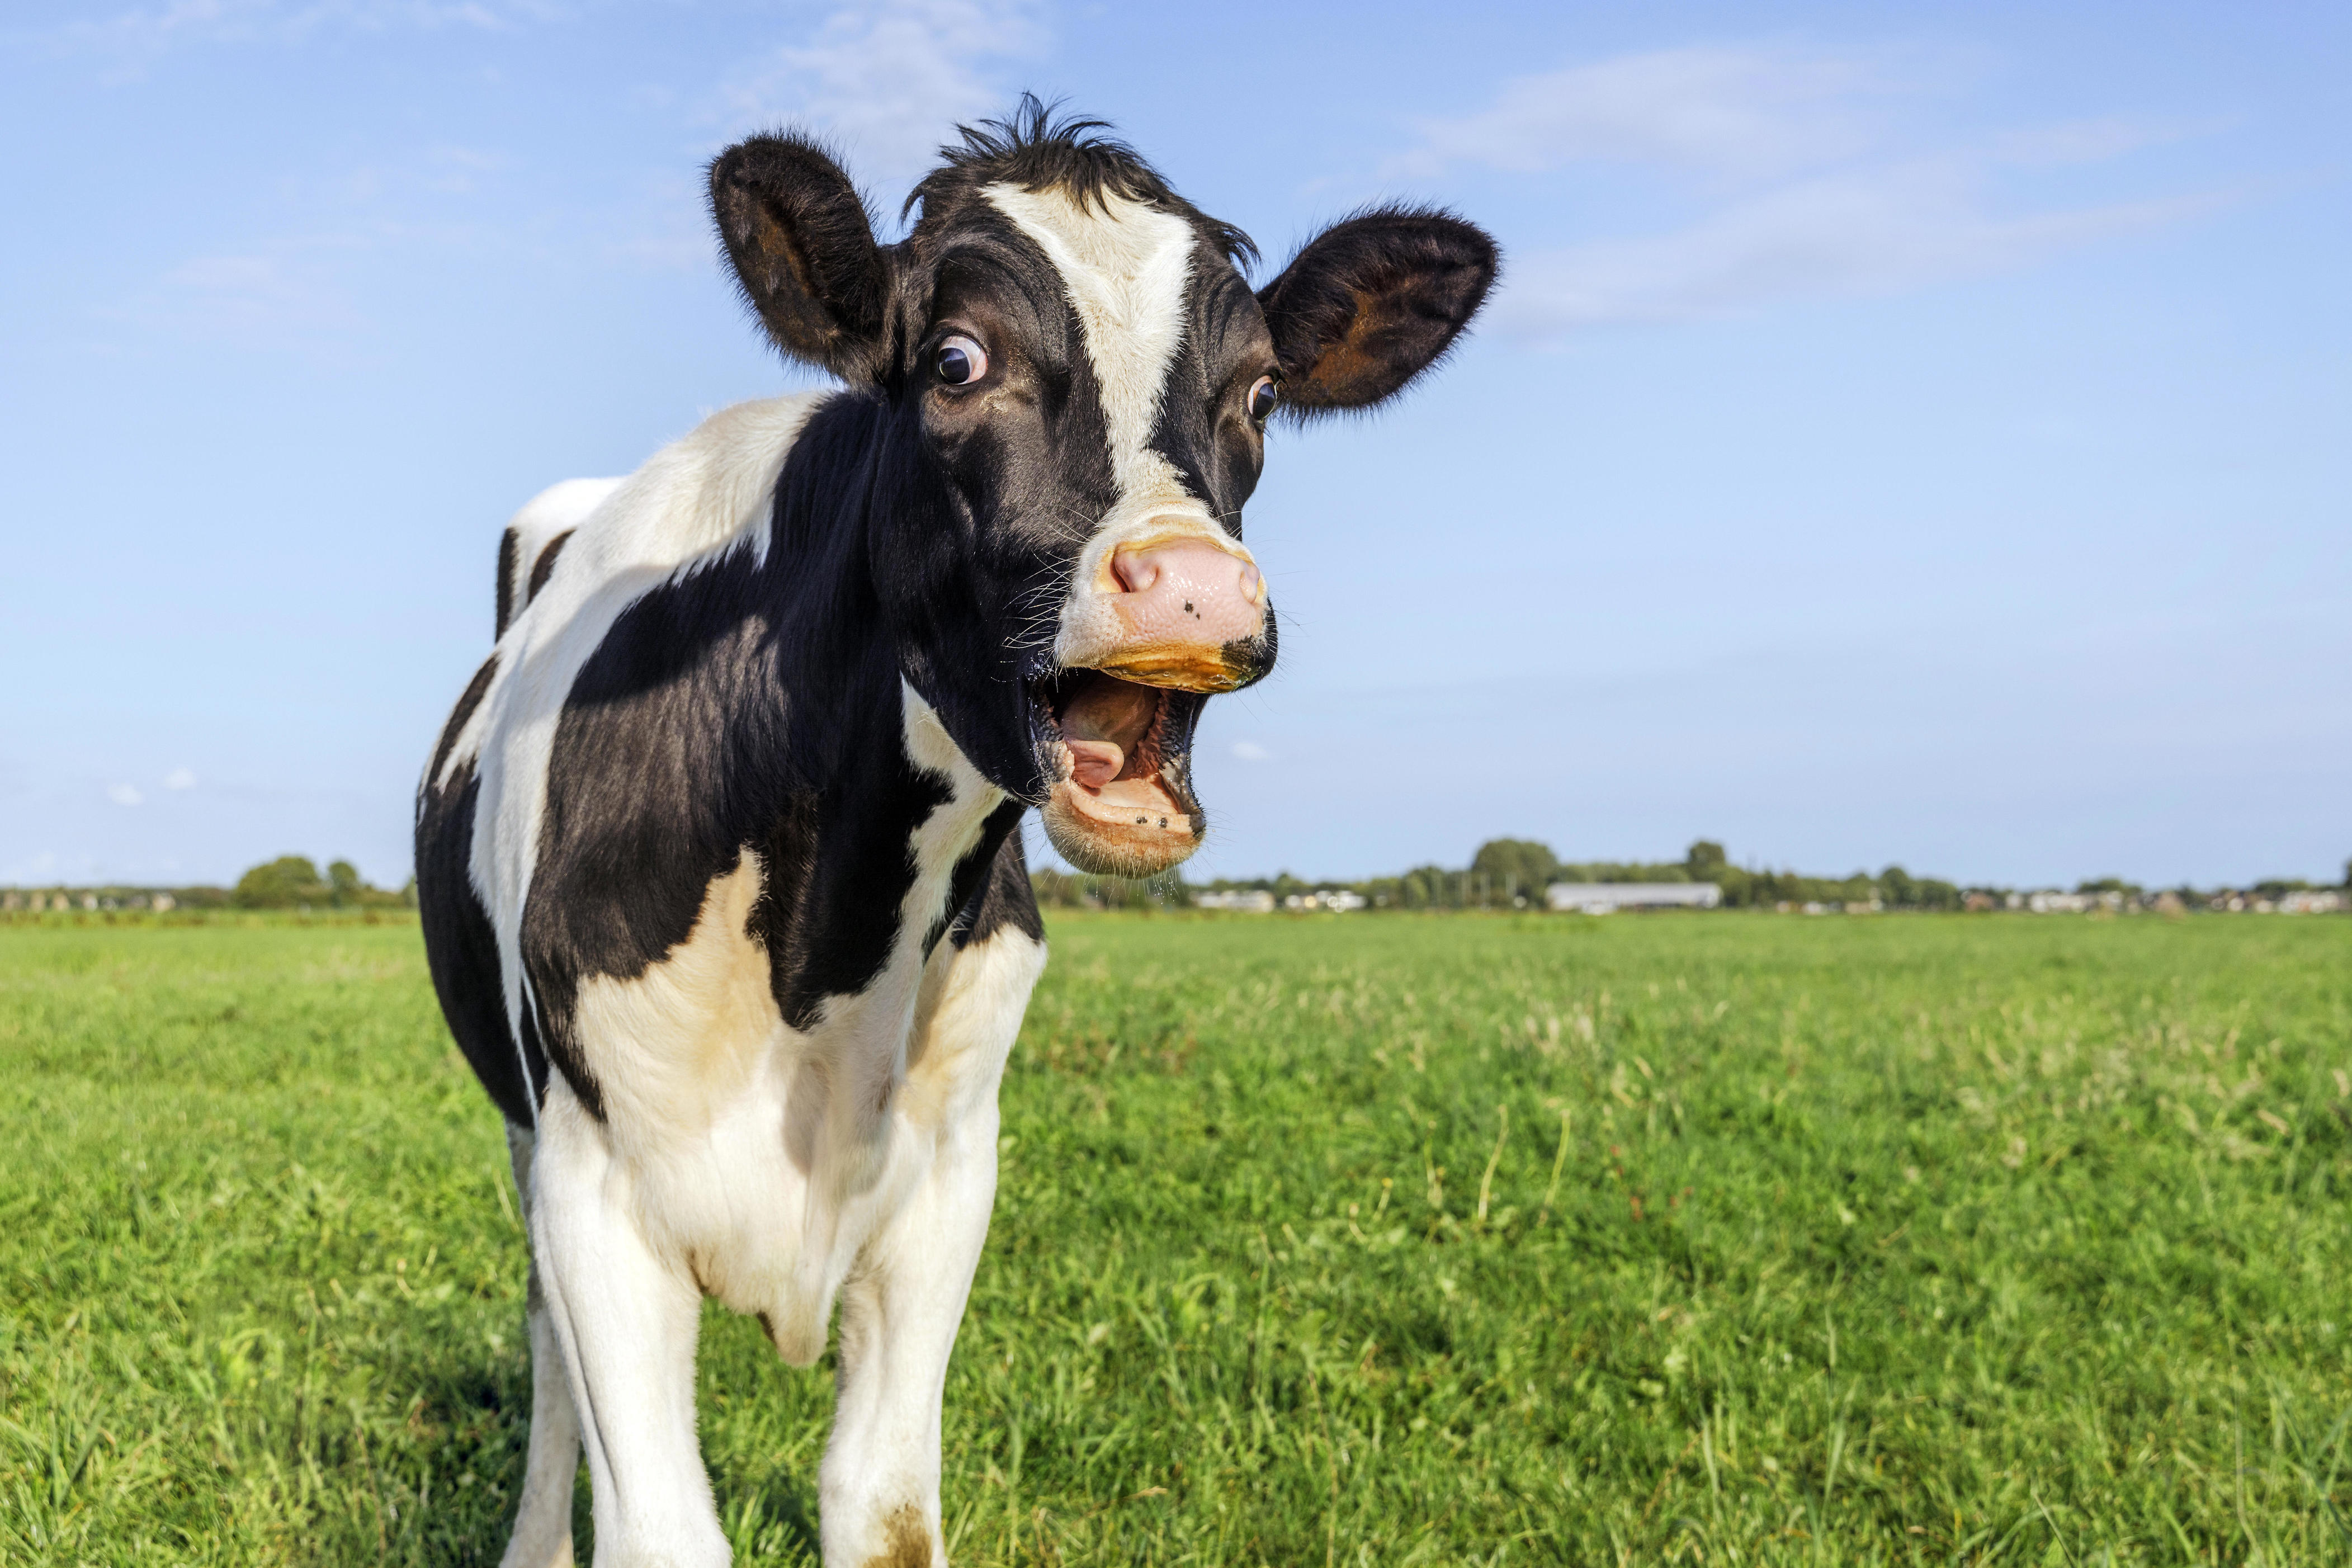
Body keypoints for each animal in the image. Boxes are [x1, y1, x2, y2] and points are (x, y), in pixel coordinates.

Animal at [415, 98, 1495, 1568]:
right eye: (955, 360)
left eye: (1261, 395)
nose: (1197, 586)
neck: (824, 961)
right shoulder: (596, 1194)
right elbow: (657, 1519)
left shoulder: (943, 1190)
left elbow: (882, 1507)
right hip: (527, 1142)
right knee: (541, 1358)